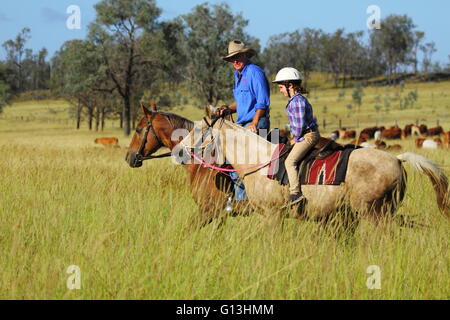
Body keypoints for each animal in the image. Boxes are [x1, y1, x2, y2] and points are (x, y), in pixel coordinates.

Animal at [178, 118, 448, 228]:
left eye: (199, 131)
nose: (179, 151)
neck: (259, 161)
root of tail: (397, 159)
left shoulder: (271, 215)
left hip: (373, 213)